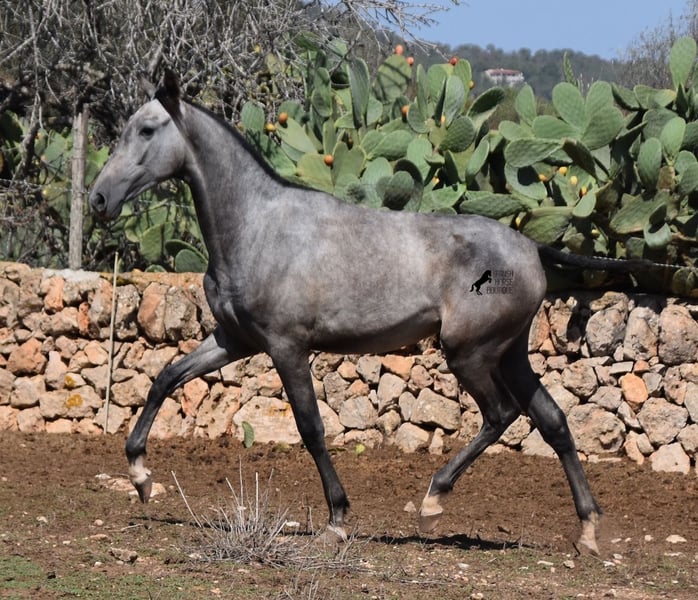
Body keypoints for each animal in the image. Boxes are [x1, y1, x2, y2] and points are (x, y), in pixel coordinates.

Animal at [90, 71, 644, 556]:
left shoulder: (286, 346)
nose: (98, 198)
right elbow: (164, 379)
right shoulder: (234, 339)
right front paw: (141, 479)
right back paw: (587, 532)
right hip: (510, 354)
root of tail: (532, 248)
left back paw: (433, 500)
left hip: (469, 353)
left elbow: (311, 428)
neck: (258, 227)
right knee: (553, 421)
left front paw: (337, 519)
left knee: (501, 414)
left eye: (146, 130)